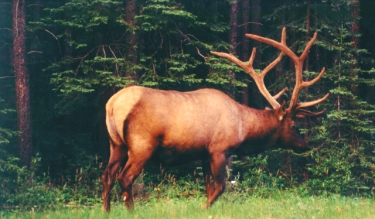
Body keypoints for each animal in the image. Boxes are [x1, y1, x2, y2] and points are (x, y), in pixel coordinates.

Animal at [102, 27, 328, 212]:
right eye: (293, 124)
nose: (304, 145)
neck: (243, 129)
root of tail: (112, 105)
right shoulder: (219, 149)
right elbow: (220, 187)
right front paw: (202, 209)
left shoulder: (203, 153)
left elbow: (208, 187)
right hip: (142, 145)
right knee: (125, 177)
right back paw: (131, 212)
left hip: (116, 143)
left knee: (107, 176)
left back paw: (107, 211)